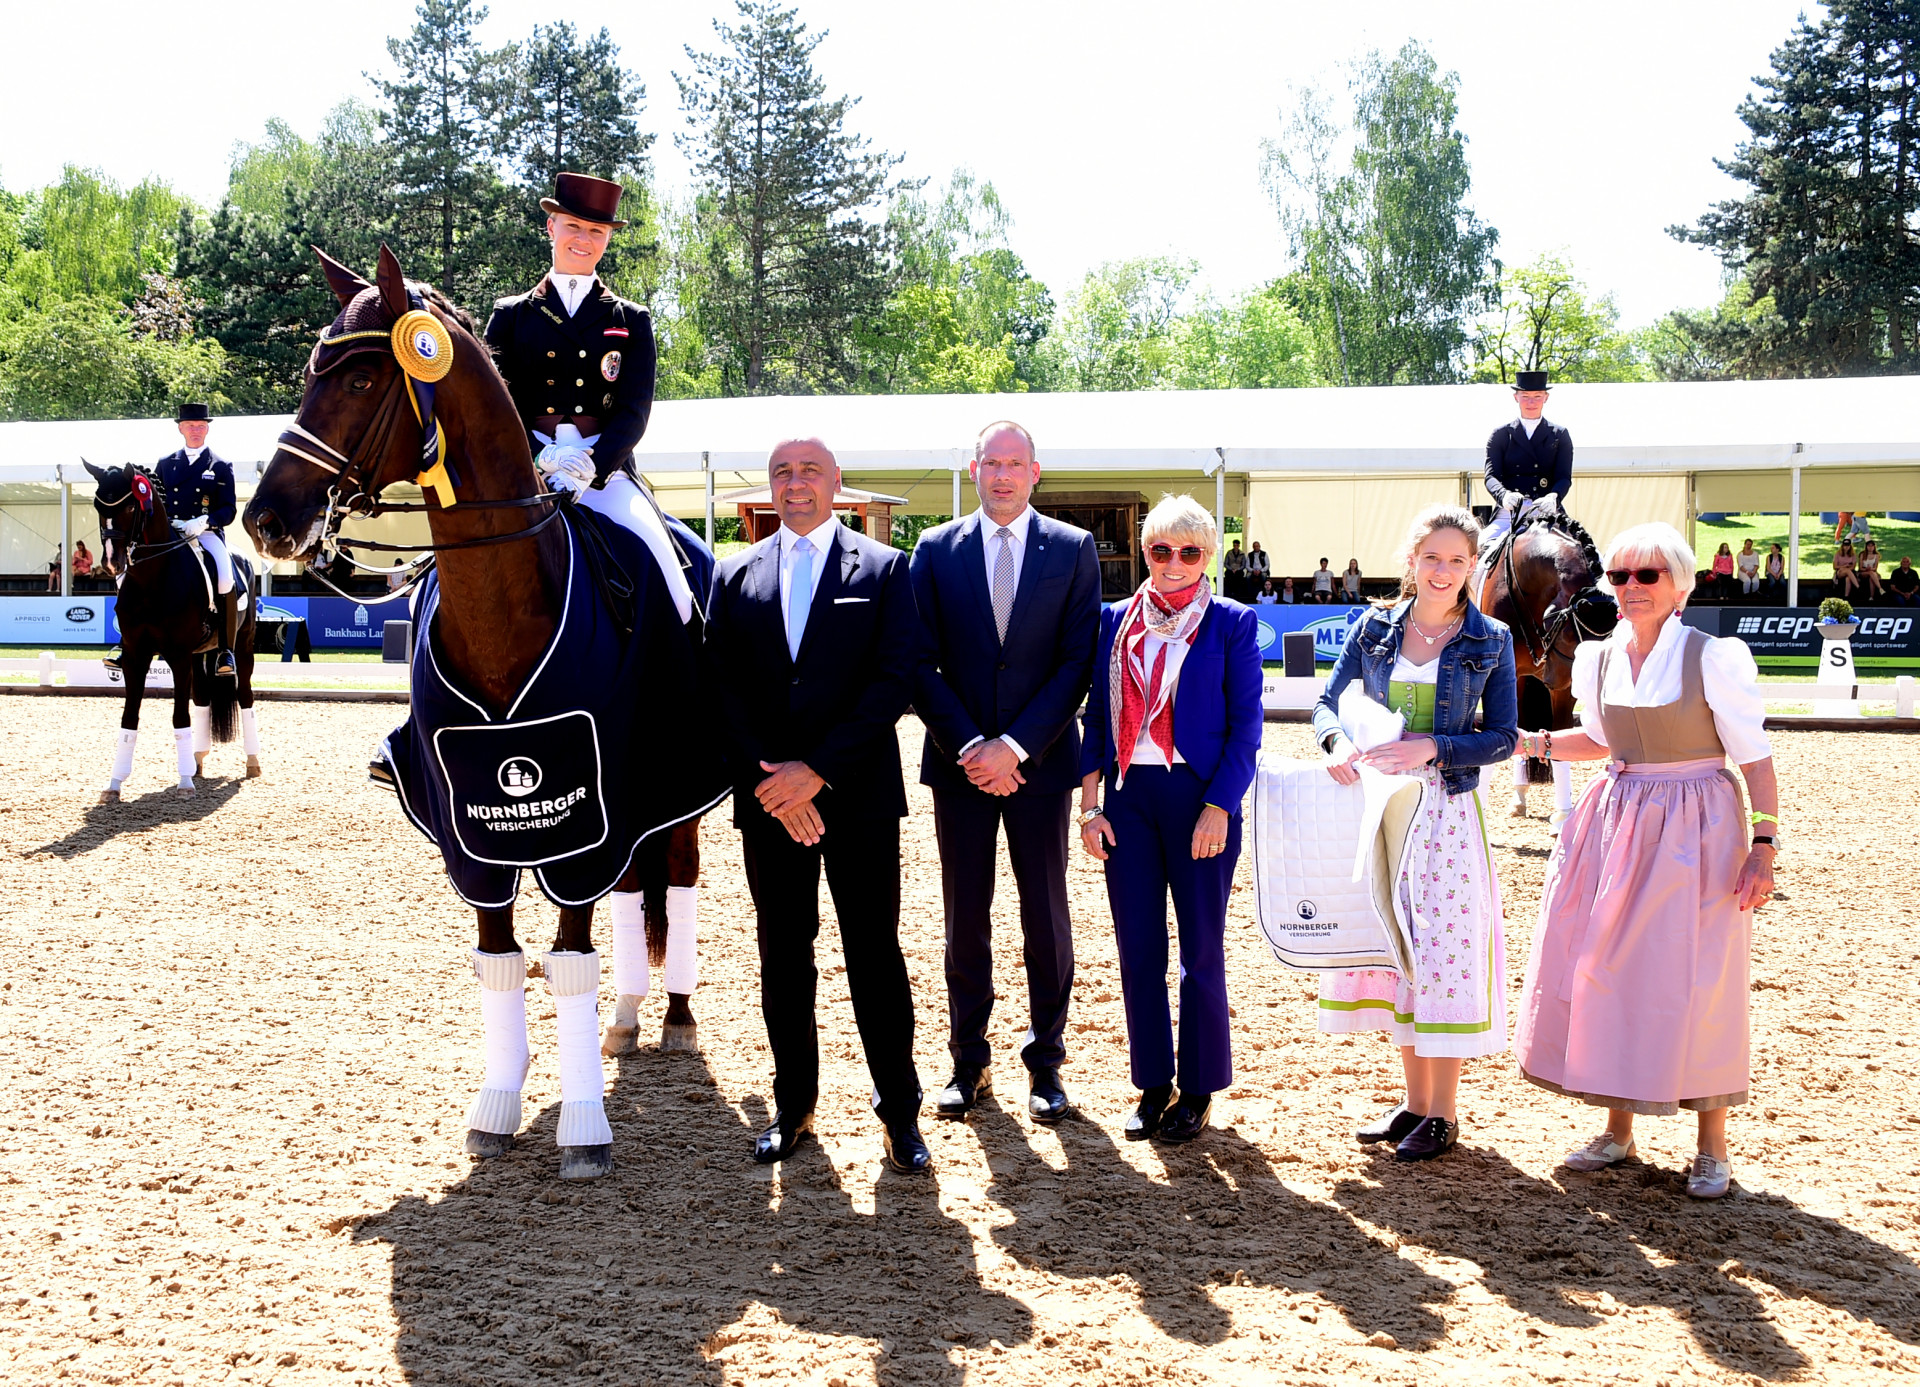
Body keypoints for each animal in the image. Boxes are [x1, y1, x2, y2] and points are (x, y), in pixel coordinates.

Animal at [88, 459, 259, 799]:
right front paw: (114, 783)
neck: (153, 578)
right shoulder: (136, 656)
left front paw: (184, 784)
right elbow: (129, 718)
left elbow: (180, 715)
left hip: (242, 647)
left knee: (245, 696)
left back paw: (251, 762)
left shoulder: (177, 655)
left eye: (130, 507)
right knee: (203, 699)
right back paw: (197, 761)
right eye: (99, 506)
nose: (112, 563)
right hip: (198, 653)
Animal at [243, 247, 718, 1175]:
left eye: (362, 379)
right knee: (630, 889)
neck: (502, 602)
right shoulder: (474, 821)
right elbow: (499, 958)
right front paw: (498, 1104)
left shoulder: (581, 817)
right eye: (311, 372)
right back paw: (625, 1018)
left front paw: (583, 1128)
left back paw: (673, 1017)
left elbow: (569, 959)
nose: (266, 519)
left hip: (670, 783)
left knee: (673, 876)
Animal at [1474, 514, 1612, 822]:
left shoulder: (1564, 689)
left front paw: (1562, 816)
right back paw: (1518, 798)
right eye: (1556, 623)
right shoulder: (1508, 675)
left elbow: (1559, 739)